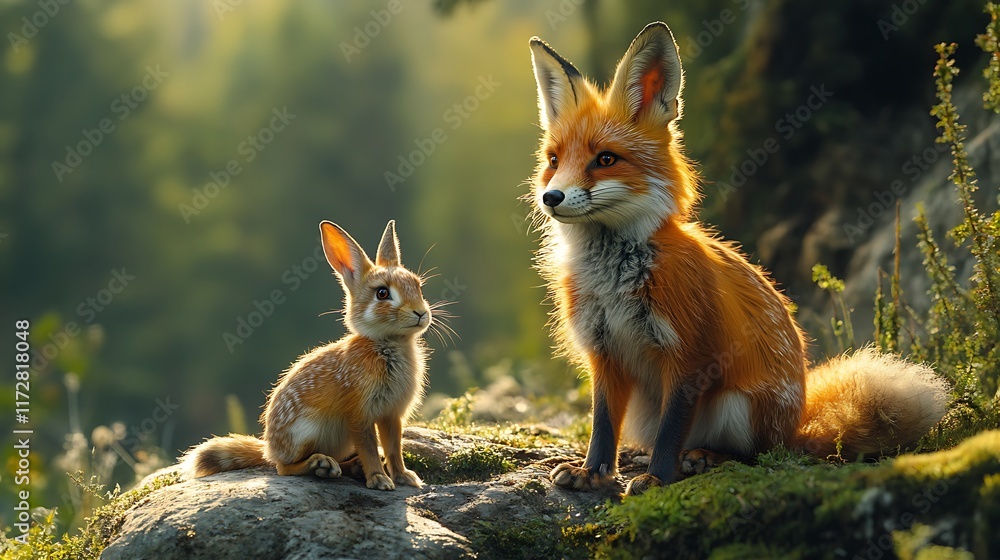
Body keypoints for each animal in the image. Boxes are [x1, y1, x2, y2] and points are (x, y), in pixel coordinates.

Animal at [528, 22, 949, 496]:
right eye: (554, 160)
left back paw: (705, 458)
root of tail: (796, 426)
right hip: (645, 408)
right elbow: (602, 425)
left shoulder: (691, 353)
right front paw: (594, 473)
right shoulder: (604, 353)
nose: (551, 197)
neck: (615, 280)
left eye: (605, 159)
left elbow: (671, 430)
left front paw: (657, 478)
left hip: (736, 405)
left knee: (754, 454)